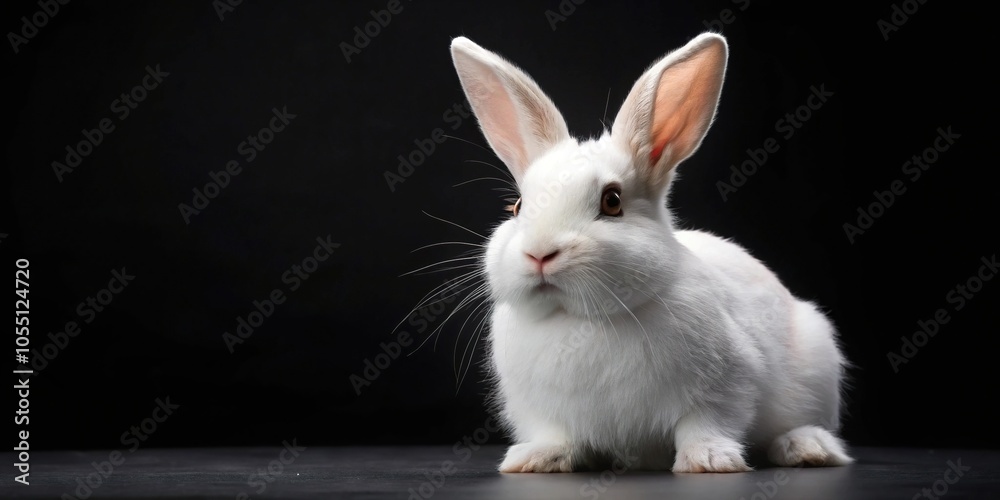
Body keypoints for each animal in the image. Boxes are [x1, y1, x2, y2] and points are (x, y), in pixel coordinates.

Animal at [448, 32, 852, 473]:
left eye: (611, 201)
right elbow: (556, 435)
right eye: (518, 206)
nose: (540, 254)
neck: (583, 320)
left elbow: (706, 424)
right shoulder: (541, 411)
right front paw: (535, 459)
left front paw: (709, 461)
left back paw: (807, 448)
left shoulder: (727, 386)